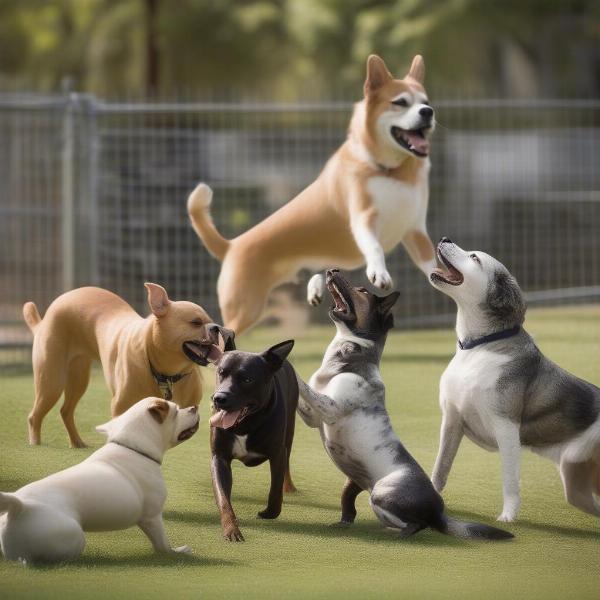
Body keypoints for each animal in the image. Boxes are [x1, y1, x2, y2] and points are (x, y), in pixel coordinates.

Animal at [0, 398, 202, 564]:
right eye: (176, 410)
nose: (194, 406)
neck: (134, 448)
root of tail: (20, 507)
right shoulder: (152, 517)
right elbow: (163, 545)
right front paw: (177, 552)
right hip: (74, 535)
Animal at [22, 282, 225, 446]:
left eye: (210, 320)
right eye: (196, 323)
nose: (217, 328)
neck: (168, 374)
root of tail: (43, 321)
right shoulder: (121, 407)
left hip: (78, 378)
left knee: (65, 411)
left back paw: (77, 442)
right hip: (51, 382)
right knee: (34, 416)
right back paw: (35, 443)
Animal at [190, 54, 438, 336]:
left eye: (426, 102)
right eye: (400, 102)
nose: (428, 112)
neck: (392, 172)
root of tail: (231, 246)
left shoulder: (416, 231)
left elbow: (431, 263)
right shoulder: (363, 219)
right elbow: (374, 246)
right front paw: (379, 273)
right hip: (244, 310)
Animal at [296, 270, 510, 540]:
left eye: (362, 291)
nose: (332, 270)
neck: (347, 358)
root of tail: (440, 515)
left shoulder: (332, 409)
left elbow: (303, 385)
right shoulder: (313, 417)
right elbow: (305, 395)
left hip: (381, 493)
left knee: (420, 524)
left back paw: (397, 533)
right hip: (356, 482)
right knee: (351, 505)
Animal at [428, 237, 600, 524]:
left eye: (474, 257)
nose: (444, 239)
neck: (480, 347)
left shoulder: (506, 428)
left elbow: (509, 479)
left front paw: (508, 515)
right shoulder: (451, 420)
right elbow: (441, 466)